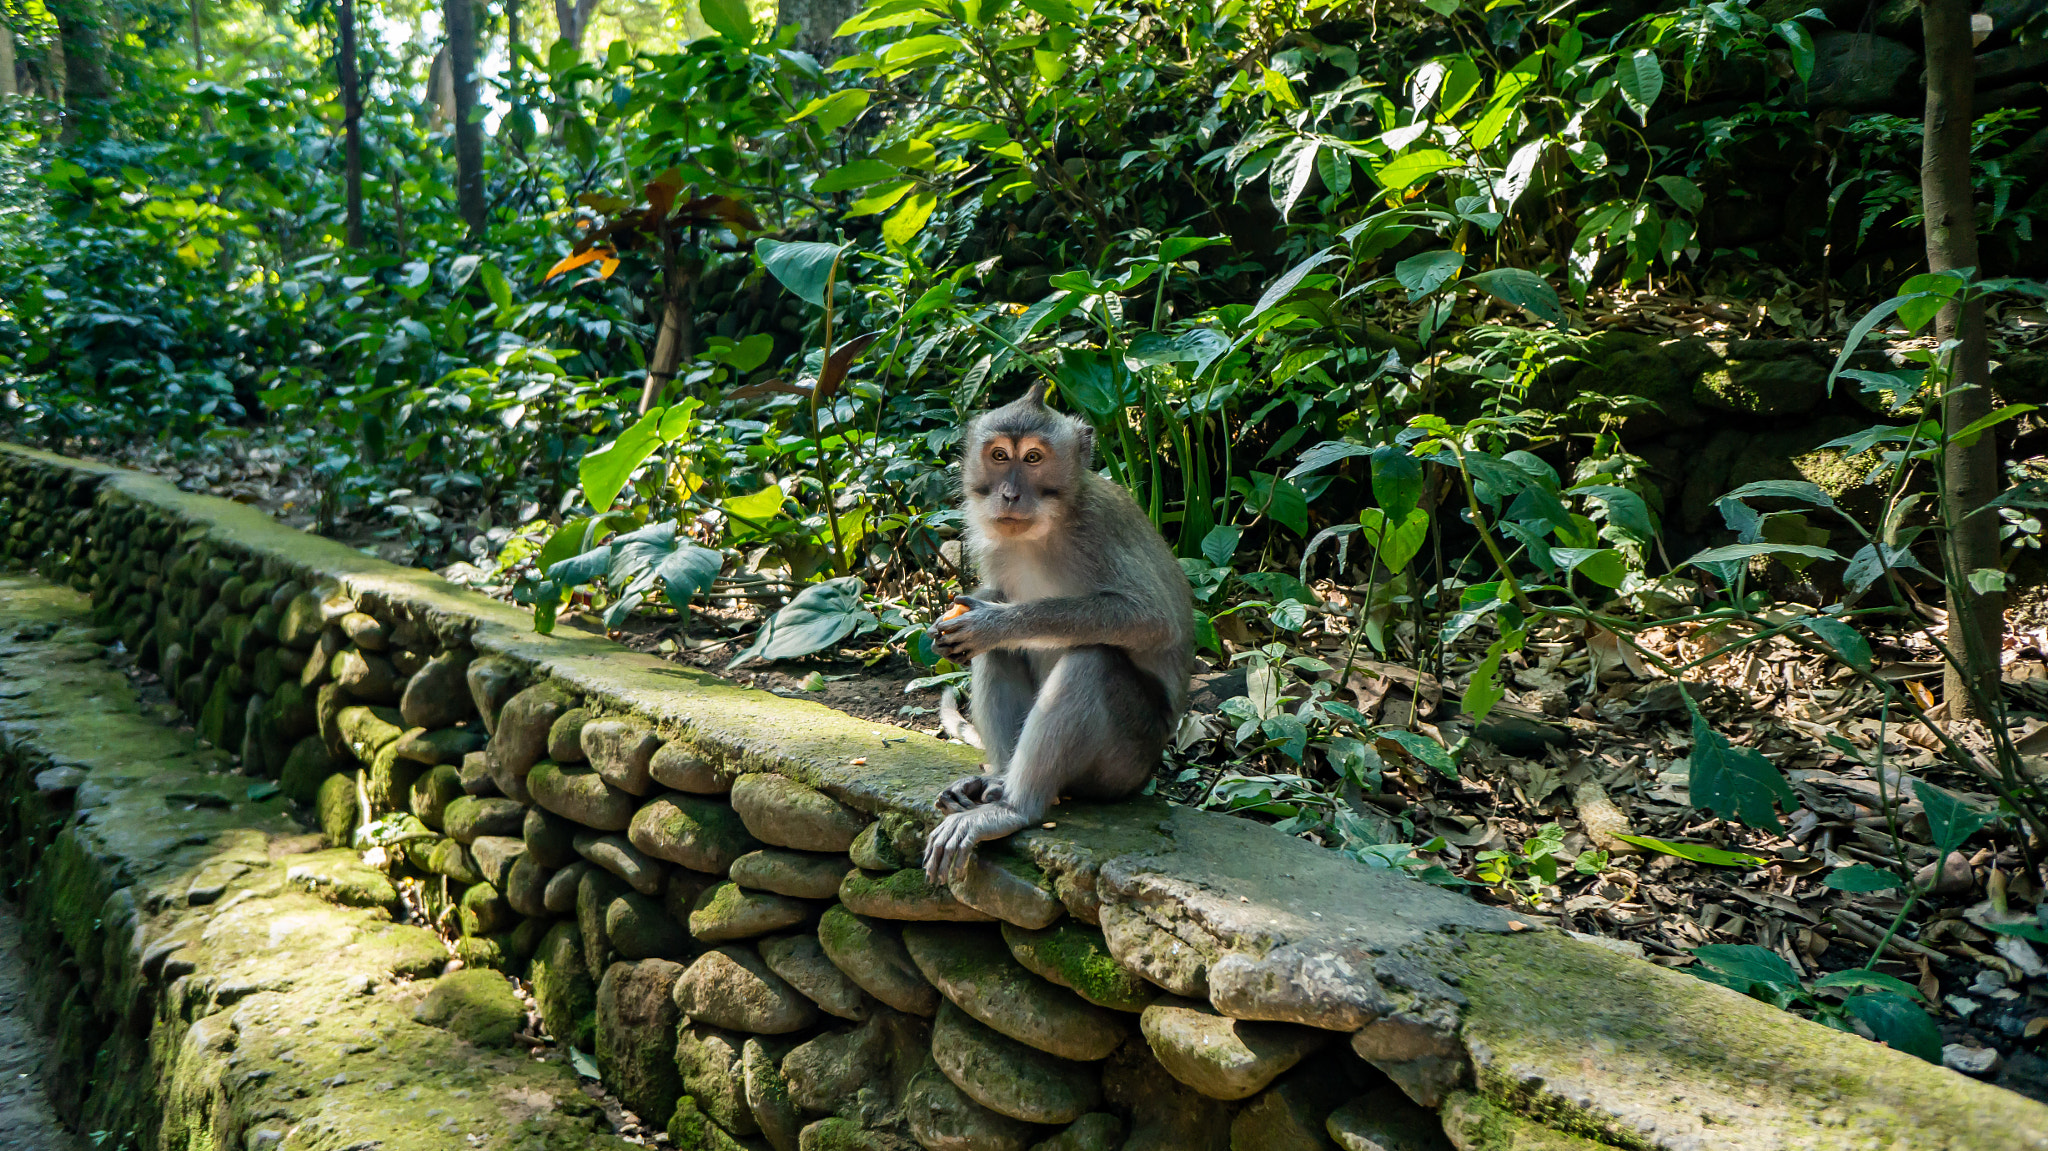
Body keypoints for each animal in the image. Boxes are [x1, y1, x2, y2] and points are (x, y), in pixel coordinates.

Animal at [923, 382, 1194, 881]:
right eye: (998, 455)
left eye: (1033, 458)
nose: (1009, 494)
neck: (1044, 528)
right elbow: (993, 601)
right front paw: (955, 620)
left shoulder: (1100, 529)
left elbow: (1150, 619)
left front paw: (993, 621)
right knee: (999, 654)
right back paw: (999, 779)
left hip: (1127, 761)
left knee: (1092, 661)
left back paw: (1014, 808)